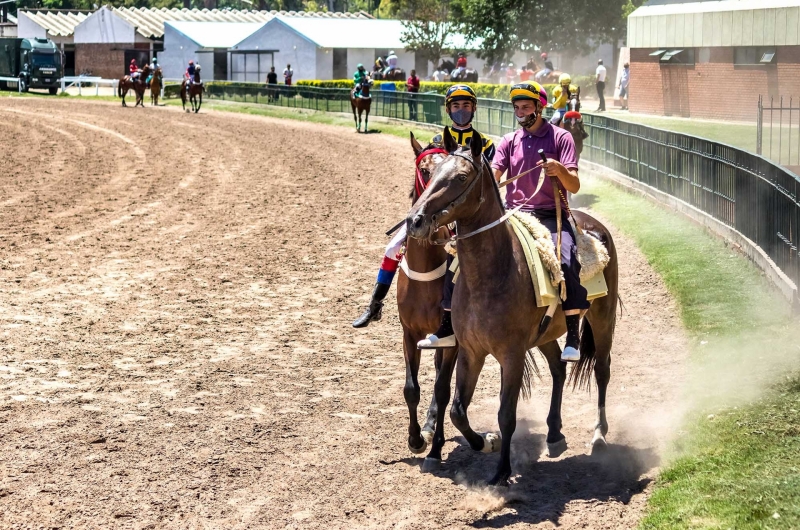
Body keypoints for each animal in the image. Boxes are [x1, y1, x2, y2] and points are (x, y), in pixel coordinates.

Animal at [406, 128, 620, 482]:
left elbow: (507, 413)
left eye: (461, 176)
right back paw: (554, 434)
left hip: (604, 319)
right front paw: (485, 442)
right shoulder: (471, 351)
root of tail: (594, 227)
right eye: (431, 173)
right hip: (546, 334)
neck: (493, 273)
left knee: (602, 371)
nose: (416, 220)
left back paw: (599, 435)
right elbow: (457, 410)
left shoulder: (512, 353)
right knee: (558, 368)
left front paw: (502, 471)